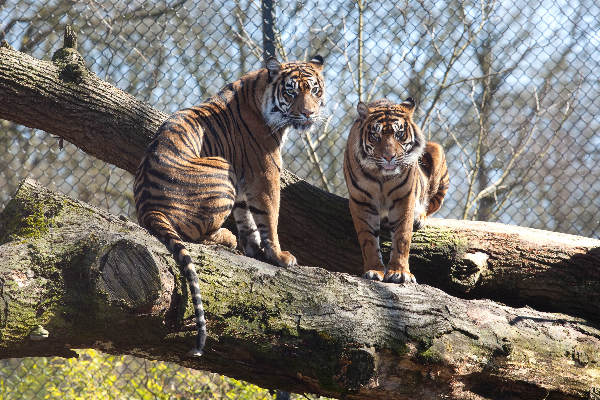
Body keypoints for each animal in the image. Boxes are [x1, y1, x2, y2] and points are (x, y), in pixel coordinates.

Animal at [134, 54, 326, 356]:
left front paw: (253, 249)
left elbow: (247, 218)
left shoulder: (244, 181)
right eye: (292, 92)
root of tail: (148, 207)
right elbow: (269, 216)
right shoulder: (265, 173)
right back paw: (227, 238)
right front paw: (279, 256)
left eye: (314, 90)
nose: (308, 114)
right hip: (221, 167)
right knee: (197, 234)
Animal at [344, 97, 448, 284]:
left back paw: (419, 217)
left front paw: (400, 272)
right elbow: (368, 239)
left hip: (437, 152)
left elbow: (402, 237)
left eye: (399, 134)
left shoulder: (404, 199)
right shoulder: (361, 201)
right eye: (375, 136)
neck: (382, 178)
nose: (388, 157)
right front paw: (374, 270)